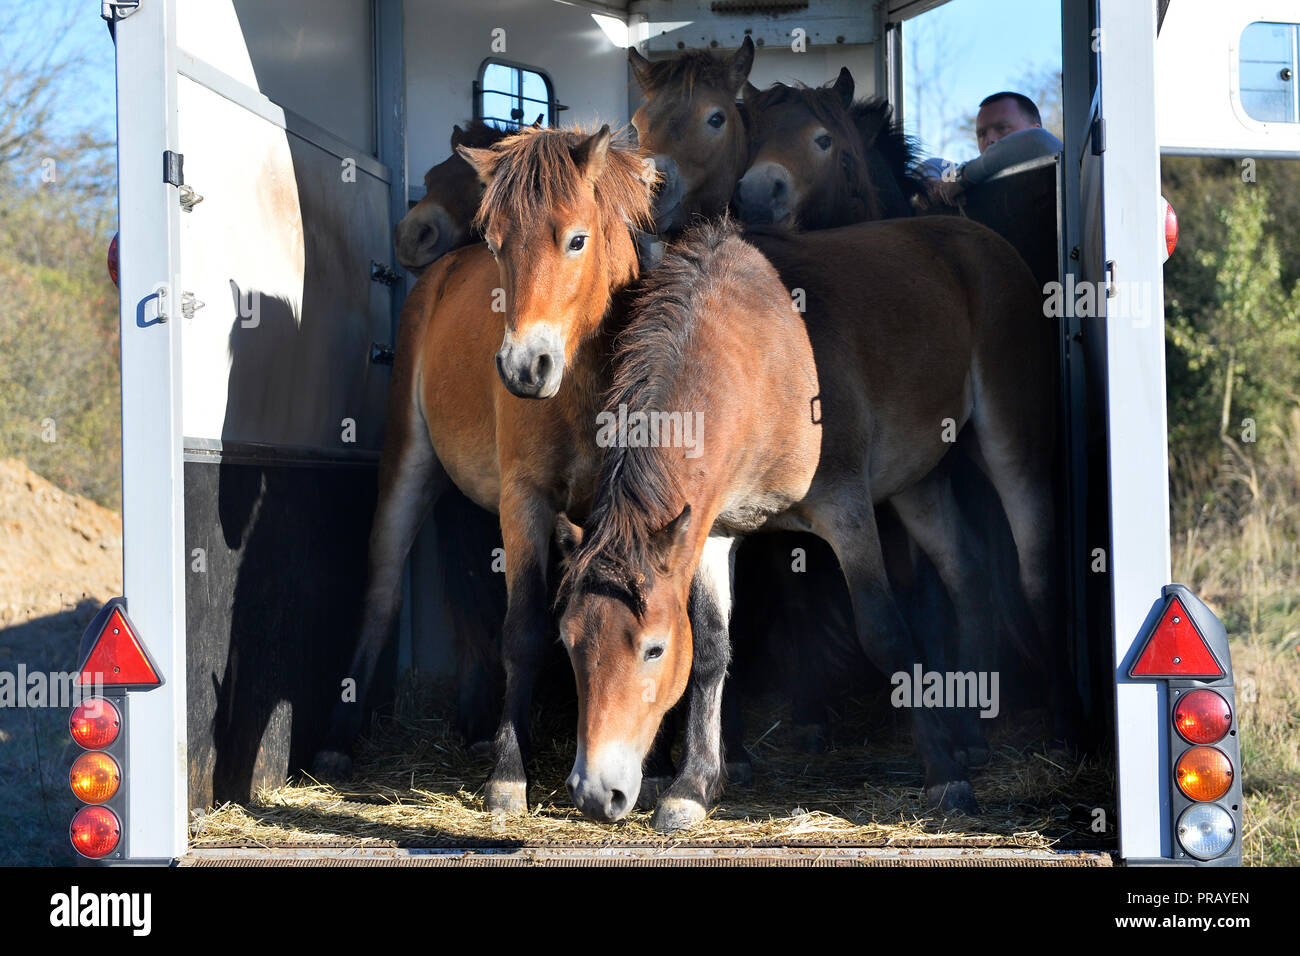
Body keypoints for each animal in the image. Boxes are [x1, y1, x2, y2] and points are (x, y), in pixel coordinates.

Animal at [553, 217, 1060, 832]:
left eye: (653, 650)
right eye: (569, 645)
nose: (593, 793)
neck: (758, 363)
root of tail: (975, 235)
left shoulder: (847, 512)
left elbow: (886, 634)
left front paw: (945, 777)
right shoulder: (711, 532)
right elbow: (713, 650)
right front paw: (693, 787)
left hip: (1010, 443)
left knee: (1035, 570)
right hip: (918, 482)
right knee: (967, 575)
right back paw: (969, 732)